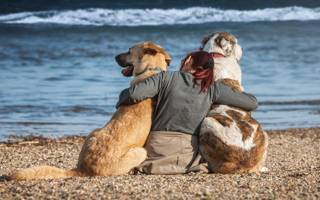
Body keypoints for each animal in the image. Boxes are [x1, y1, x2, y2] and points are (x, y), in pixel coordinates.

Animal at [7, 41, 171, 180]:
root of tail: (82, 170)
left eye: (129, 51)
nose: (114, 56)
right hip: (132, 147)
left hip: (112, 139)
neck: (151, 70)